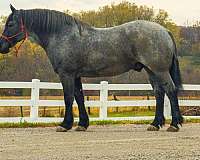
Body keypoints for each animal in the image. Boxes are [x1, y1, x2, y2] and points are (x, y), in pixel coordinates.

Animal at [0, 5, 183, 132]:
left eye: (10, 24)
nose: (2, 46)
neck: (61, 35)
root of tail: (164, 30)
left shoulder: (66, 74)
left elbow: (68, 98)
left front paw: (65, 125)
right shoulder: (75, 75)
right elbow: (79, 97)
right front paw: (82, 124)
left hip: (159, 71)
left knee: (170, 90)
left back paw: (174, 124)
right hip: (151, 71)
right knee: (159, 93)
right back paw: (155, 124)